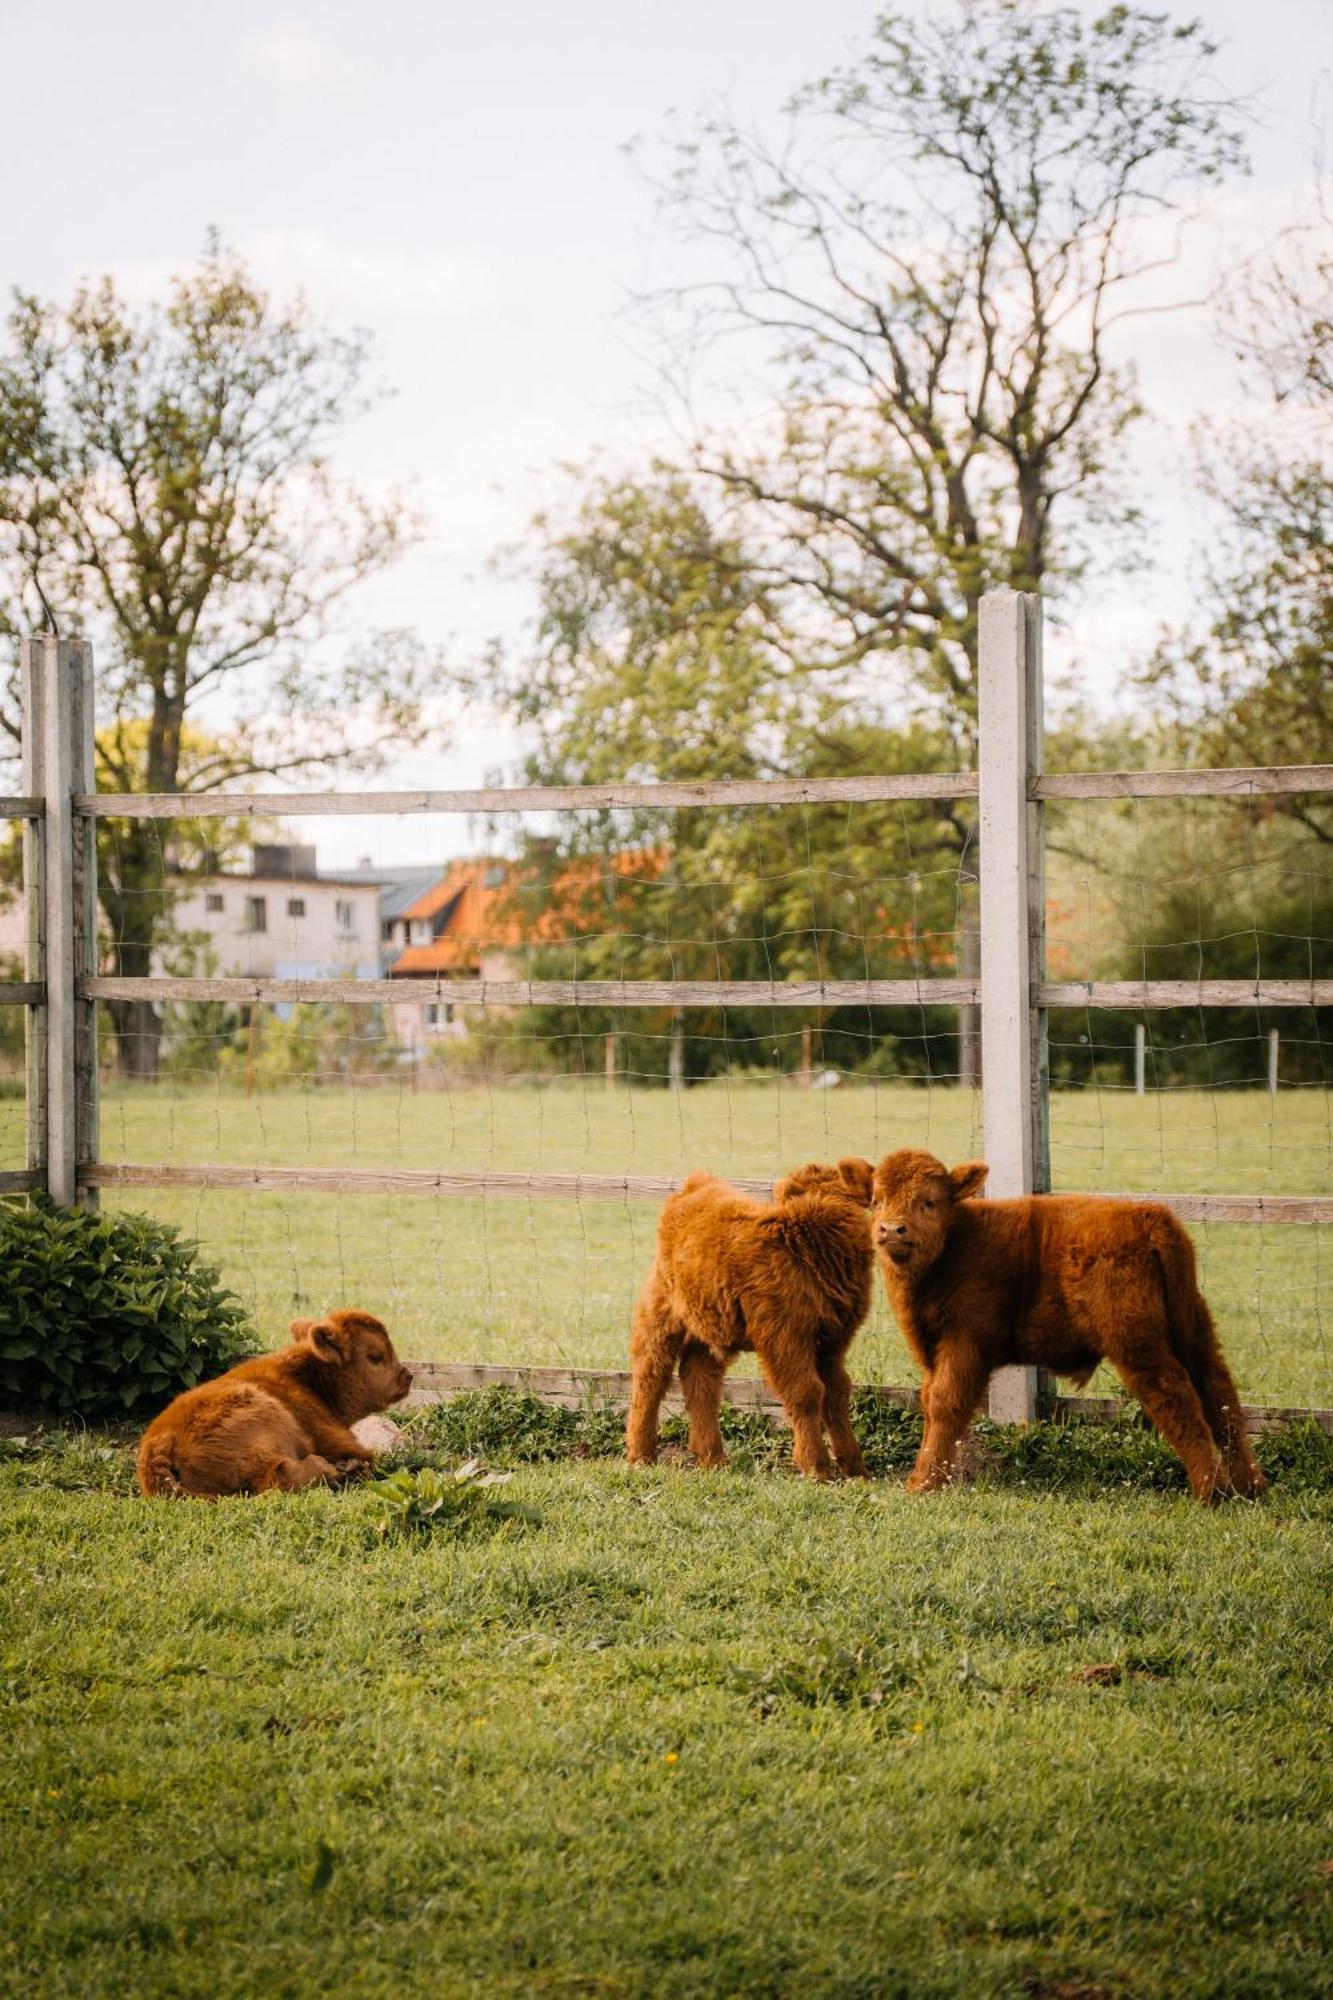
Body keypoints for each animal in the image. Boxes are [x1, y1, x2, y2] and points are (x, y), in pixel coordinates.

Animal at [137, 1312, 410, 1504]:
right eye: (375, 1356)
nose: (407, 1377)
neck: (308, 1378)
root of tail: (159, 1441)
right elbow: (367, 1457)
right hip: (271, 1419)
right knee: (277, 1477)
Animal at [628, 1168, 876, 1480]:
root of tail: (697, 1184)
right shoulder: (785, 1338)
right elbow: (807, 1392)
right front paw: (816, 1467)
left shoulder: (834, 1342)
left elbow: (837, 1393)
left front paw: (855, 1468)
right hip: (661, 1315)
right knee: (650, 1375)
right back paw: (642, 1454)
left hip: (709, 1322)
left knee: (700, 1379)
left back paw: (712, 1458)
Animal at [868, 1144, 1264, 1504]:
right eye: (876, 1200)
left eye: (929, 1202)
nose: (892, 1229)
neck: (955, 1244)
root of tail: (1147, 1214)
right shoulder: (931, 1351)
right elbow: (928, 1400)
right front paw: (923, 1476)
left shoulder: (965, 1341)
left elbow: (944, 1403)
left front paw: (925, 1483)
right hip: (1191, 1327)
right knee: (1217, 1389)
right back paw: (1249, 1485)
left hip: (1136, 1341)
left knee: (1175, 1393)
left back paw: (1211, 1491)